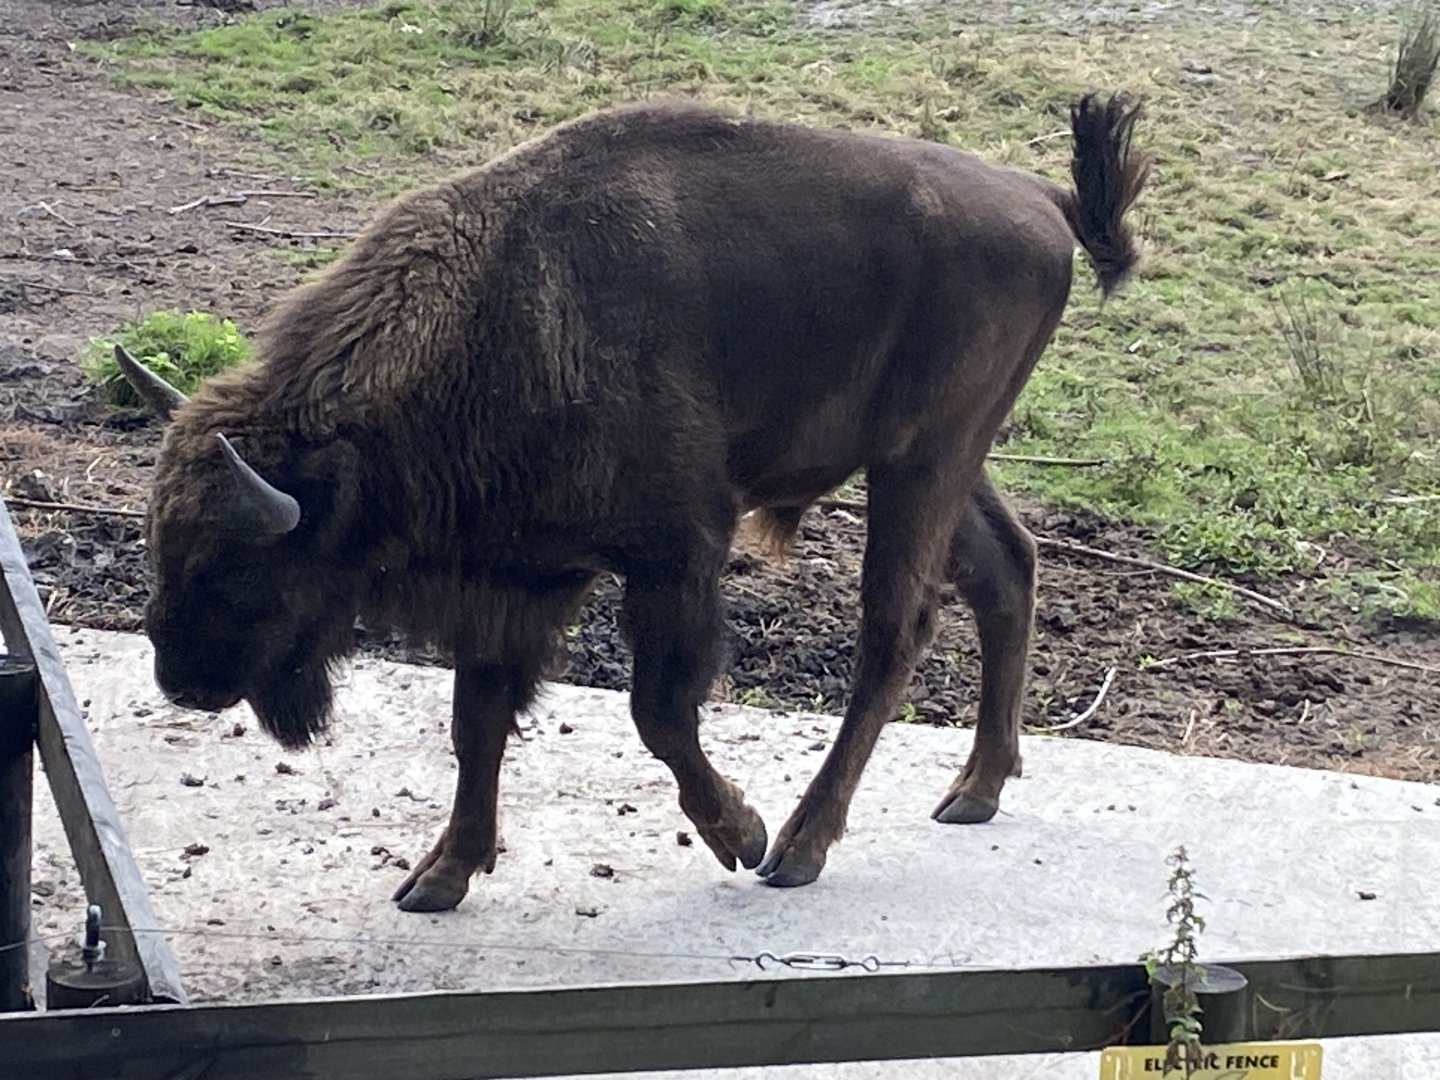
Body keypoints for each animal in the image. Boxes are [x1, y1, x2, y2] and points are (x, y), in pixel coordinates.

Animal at [116, 95, 1149, 911]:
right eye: (164, 544)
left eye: (241, 564)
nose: (181, 677)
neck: (497, 314)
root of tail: (1043, 202)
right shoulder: (518, 577)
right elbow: (476, 719)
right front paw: (439, 876)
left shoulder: (677, 552)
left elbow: (658, 709)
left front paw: (738, 832)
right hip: (934, 461)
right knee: (1007, 570)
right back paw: (974, 789)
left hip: (924, 461)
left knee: (898, 628)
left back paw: (800, 848)